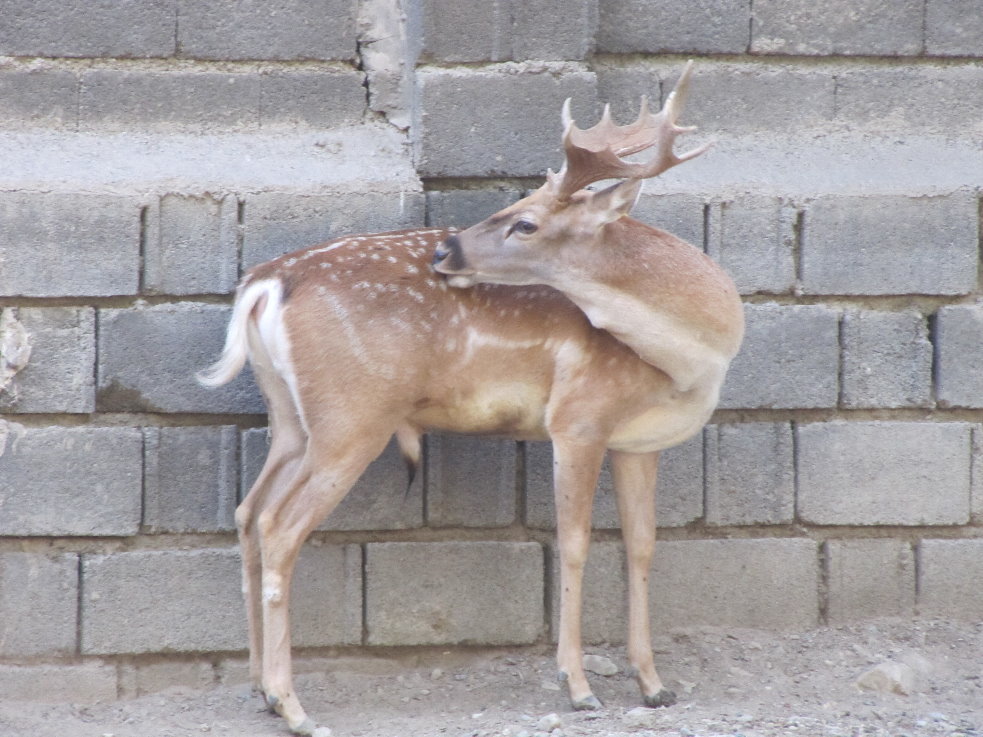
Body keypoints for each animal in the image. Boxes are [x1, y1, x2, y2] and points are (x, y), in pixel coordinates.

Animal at [199, 62, 743, 736]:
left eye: (525, 221)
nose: (445, 250)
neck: (695, 357)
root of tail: (262, 286)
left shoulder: (639, 442)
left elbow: (641, 547)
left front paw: (654, 685)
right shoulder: (578, 419)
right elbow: (574, 543)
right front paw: (578, 687)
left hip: (294, 418)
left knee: (249, 512)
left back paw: (259, 689)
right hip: (353, 416)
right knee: (279, 525)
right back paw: (294, 705)